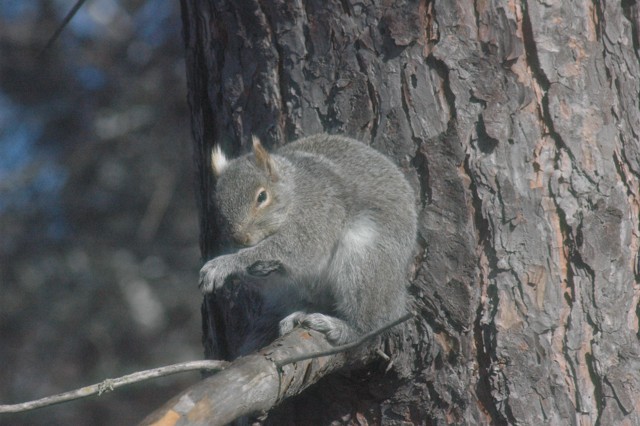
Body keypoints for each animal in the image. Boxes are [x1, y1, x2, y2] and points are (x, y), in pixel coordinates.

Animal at [200, 134, 418, 346]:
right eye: (218, 206)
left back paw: (342, 328)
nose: (240, 238)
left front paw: (225, 264)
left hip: (364, 261)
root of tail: (397, 294)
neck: (293, 194)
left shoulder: (316, 216)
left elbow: (295, 248)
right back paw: (299, 314)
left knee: (368, 324)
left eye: (262, 196)